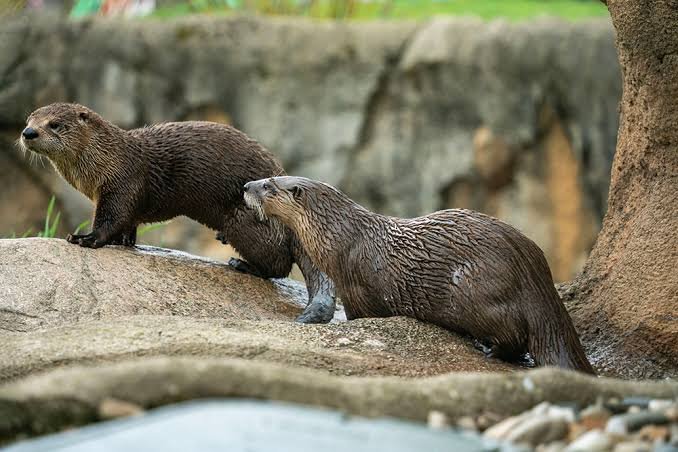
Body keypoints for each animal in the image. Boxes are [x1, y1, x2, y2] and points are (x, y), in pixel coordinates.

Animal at [18, 103, 335, 323]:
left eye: (55, 124)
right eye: (28, 120)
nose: (28, 132)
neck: (106, 161)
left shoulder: (121, 184)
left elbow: (112, 219)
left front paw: (85, 238)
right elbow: (128, 224)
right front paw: (124, 242)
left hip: (244, 219)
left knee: (278, 264)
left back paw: (242, 265)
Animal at [243, 176, 595, 373]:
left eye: (268, 185)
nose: (246, 186)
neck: (341, 238)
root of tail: (534, 272)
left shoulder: (356, 289)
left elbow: (362, 316)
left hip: (474, 287)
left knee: (514, 336)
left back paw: (487, 348)